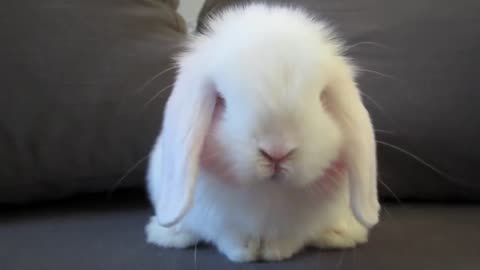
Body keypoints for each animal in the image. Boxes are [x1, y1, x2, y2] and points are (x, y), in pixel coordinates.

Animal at [144, 3, 380, 262]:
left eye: (321, 97)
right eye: (222, 100)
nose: (277, 152)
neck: (267, 193)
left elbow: (292, 238)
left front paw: (275, 251)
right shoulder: (219, 222)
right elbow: (229, 237)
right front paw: (245, 251)